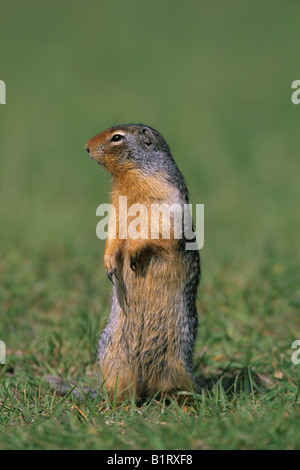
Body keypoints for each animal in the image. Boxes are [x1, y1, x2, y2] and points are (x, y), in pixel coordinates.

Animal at [85, 124, 202, 400]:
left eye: (117, 137)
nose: (86, 147)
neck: (130, 177)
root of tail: (148, 386)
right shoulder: (116, 209)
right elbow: (113, 233)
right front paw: (109, 264)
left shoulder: (164, 196)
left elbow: (156, 227)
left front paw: (134, 253)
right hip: (112, 357)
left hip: (179, 358)